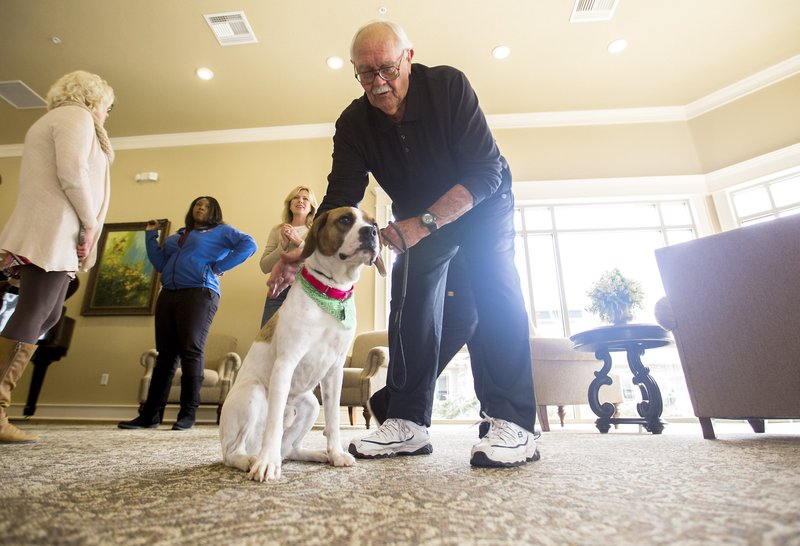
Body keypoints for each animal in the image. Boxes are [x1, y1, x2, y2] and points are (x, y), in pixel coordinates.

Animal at [219, 207, 382, 480]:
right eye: (345, 219)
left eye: (375, 224)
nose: (370, 232)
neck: (331, 293)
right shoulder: (286, 363)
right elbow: (273, 425)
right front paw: (266, 464)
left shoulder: (335, 371)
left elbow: (333, 421)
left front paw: (336, 454)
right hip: (253, 394)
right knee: (234, 452)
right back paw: (252, 459)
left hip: (310, 405)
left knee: (289, 449)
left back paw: (316, 455)